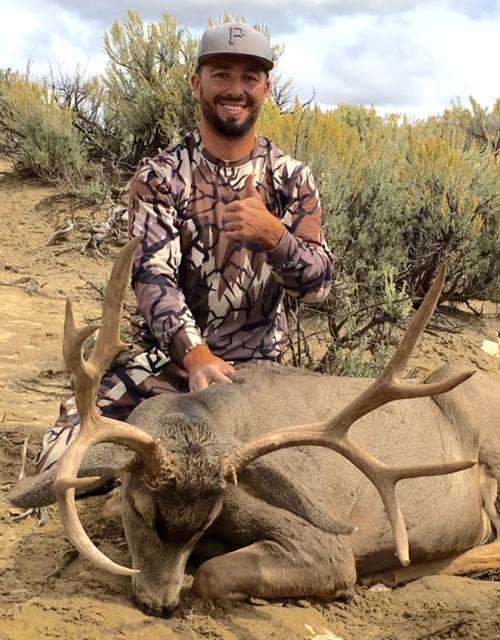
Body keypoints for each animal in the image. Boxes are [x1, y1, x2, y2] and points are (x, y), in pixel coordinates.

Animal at [8, 238, 500, 616]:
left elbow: (210, 575)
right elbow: (109, 507)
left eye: (206, 520)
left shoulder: (324, 543)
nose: (158, 604)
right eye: (141, 511)